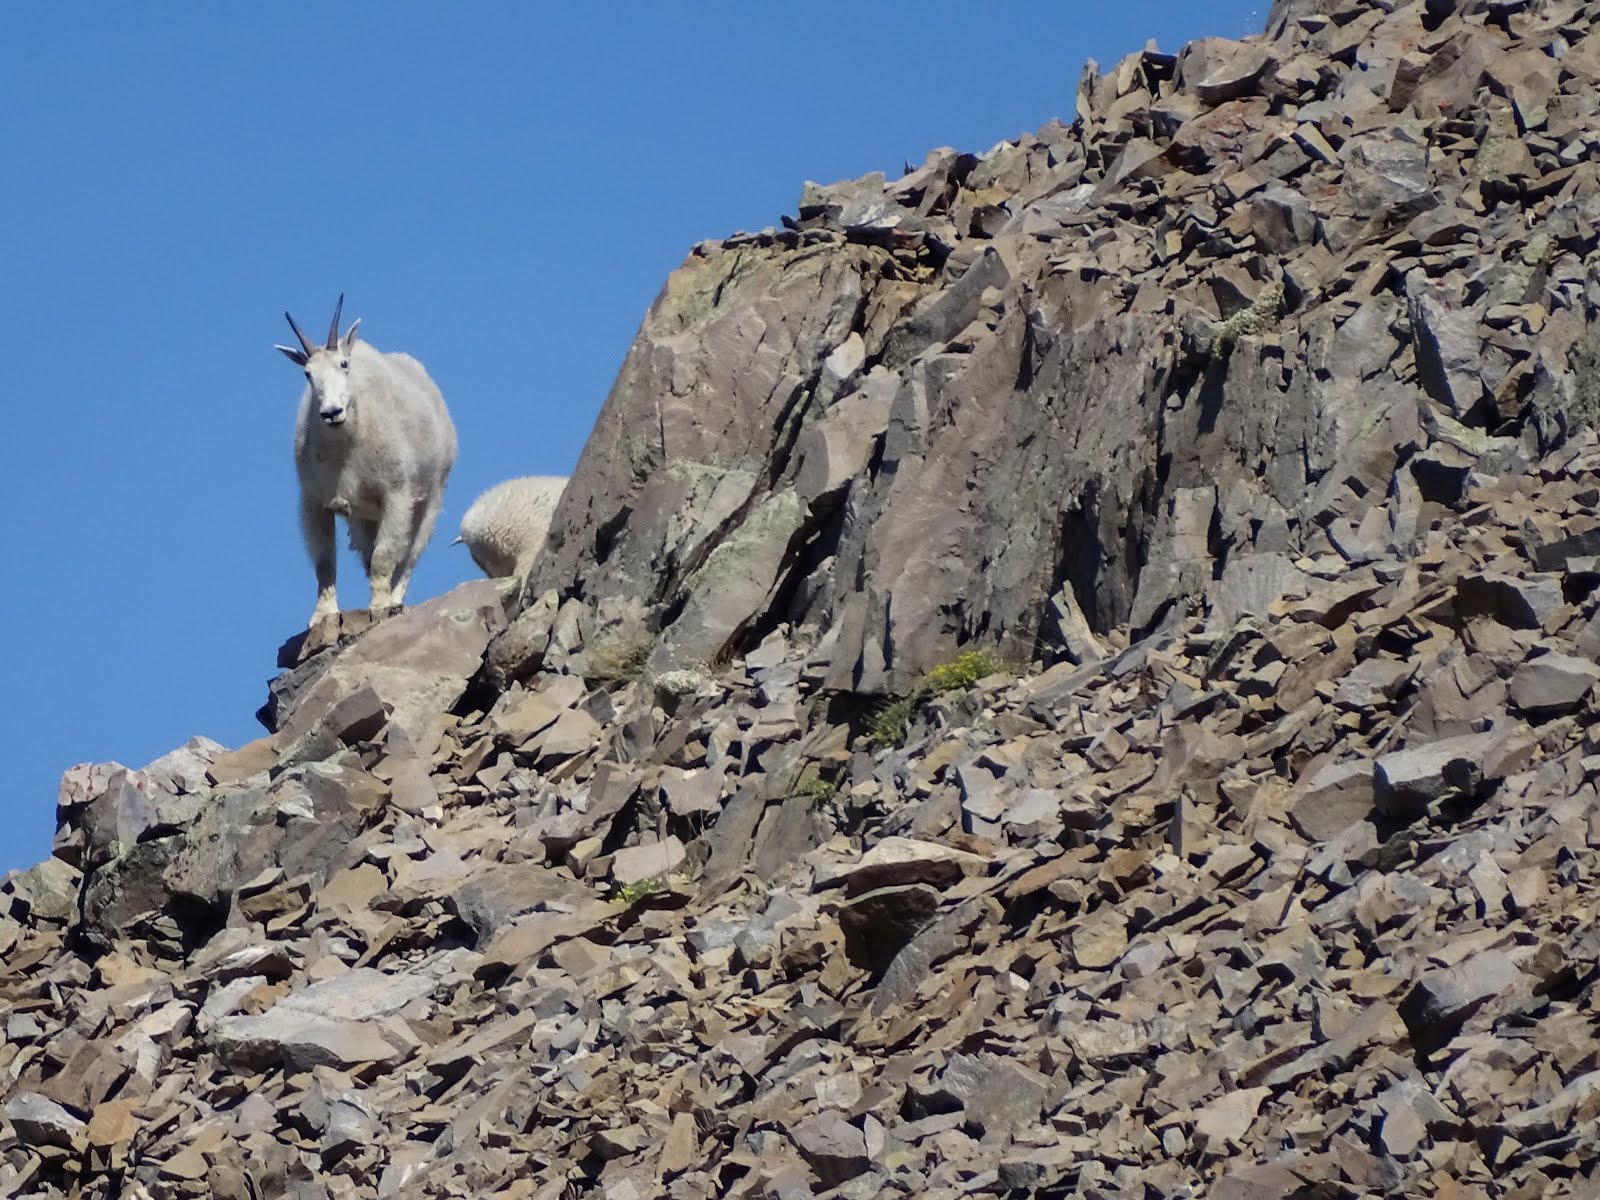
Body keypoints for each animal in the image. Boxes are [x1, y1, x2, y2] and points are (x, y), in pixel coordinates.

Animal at [275, 296, 457, 624]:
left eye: (343, 364)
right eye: (308, 374)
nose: (332, 412)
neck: (344, 446)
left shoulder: (396, 493)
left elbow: (385, 555)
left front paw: (379, 607)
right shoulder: (313, 501)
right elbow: (325, 561)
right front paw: (322, 615)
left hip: (432, 497)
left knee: (409, 555)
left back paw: (395, 601)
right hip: (362, 517)